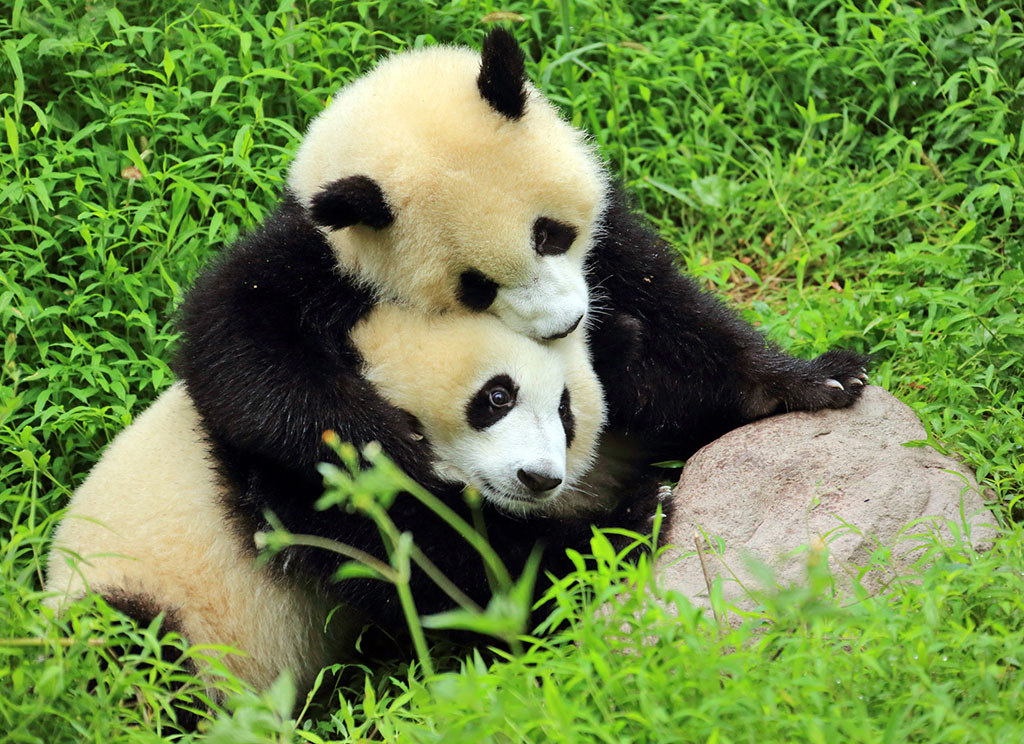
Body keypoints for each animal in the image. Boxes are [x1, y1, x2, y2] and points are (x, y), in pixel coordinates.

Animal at [45, 307, 613, 700]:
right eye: (499, 396)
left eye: (566, 411)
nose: (540, 479)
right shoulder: (297, 461)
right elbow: (443, 563)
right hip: (133, 597)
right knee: (128, 651)